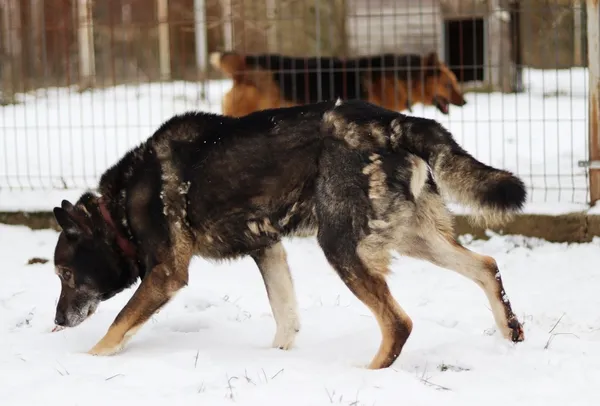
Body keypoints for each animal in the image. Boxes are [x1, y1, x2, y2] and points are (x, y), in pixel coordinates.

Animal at [54, 98, 528, 368]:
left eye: (65, 275)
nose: (57, 321)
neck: (117, 211)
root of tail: (392, 121)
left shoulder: (167, 274)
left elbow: (117, 324)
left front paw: (86, 362)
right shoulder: (268, 250)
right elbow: (286, 317)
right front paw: (276, 358)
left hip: (342, 246)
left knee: (399, 323)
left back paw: (370, 373)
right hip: (411, 236)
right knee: (486, 266)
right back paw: (511, 333)